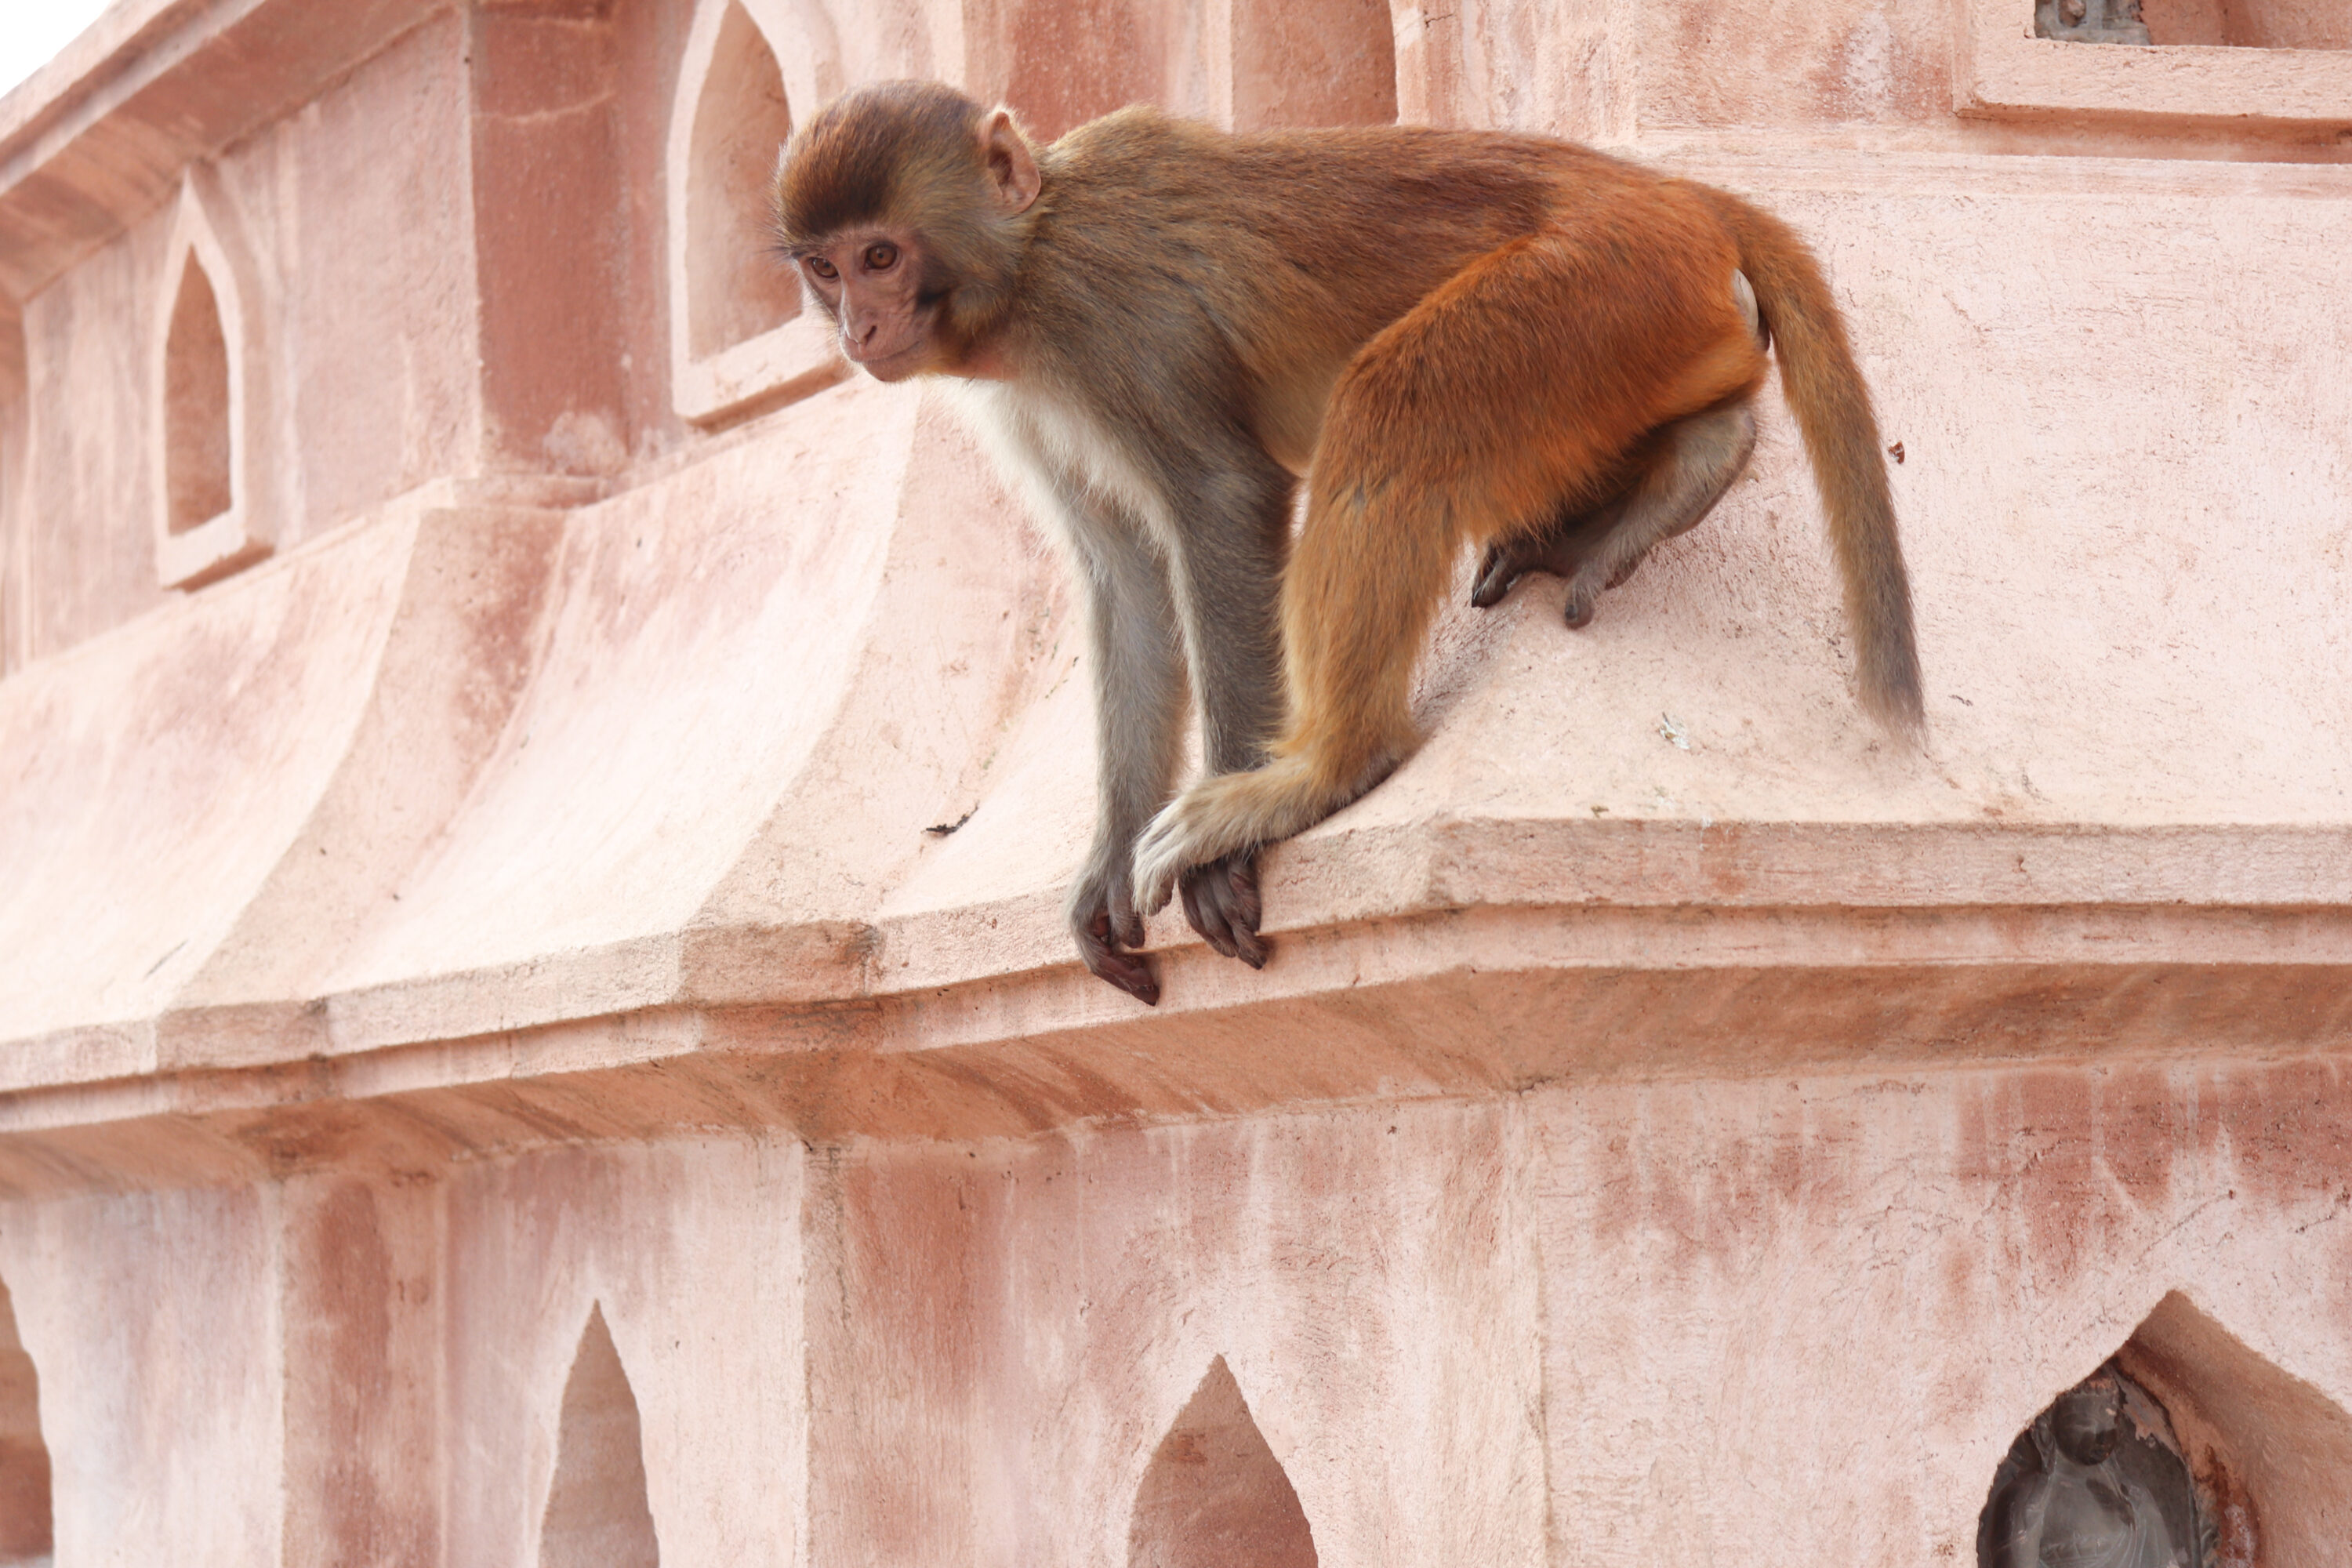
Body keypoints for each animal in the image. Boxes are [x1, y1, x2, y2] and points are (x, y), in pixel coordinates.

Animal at [773, 80, 1922, 1004]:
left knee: (1393, 410)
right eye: (826, 268)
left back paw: (1321, 769)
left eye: (882, 255)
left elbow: (1221, 502)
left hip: (1603, 284)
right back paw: (1699, 458)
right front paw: (1105, 865)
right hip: (1640, 322)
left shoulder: (1110, 325)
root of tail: (1682, 196)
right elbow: (1126, 578)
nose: (857, 331)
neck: (1025, 259)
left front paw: (1227, 851)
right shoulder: (1032, 399)